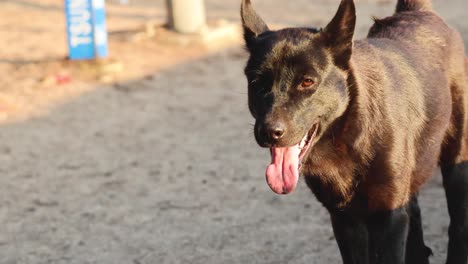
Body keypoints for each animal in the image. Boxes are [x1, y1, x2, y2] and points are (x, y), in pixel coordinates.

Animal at [241, 1, 468, 262]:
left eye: (307, 82)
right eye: (256, 83)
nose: (270, 132)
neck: (349, 136)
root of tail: (418, 11)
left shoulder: (388, 218)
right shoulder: (345, 220)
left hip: (457, 165)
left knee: (458, 226)